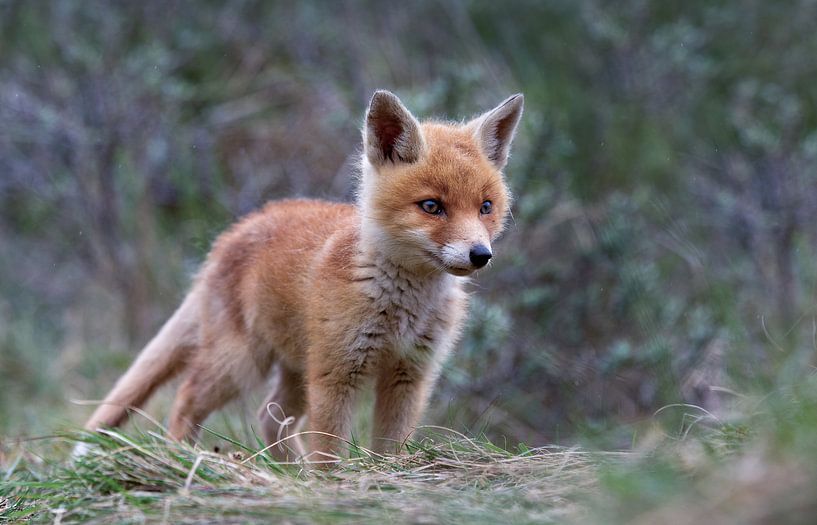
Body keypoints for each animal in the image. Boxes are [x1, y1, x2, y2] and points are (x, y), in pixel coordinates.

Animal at [83, 90, 524, 462]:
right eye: (431, 206)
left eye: (485, 207)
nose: (480, 255)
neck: (402, 307)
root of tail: (234, 232)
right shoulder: (336, 373)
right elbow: (328, 452)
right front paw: (330, 487)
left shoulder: (409, 374)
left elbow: (389, 448)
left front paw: (384, 478)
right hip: (241, 363)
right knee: (186, 400)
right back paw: (181, 462)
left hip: (294, 368)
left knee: (267, 416)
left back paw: (287, 472)